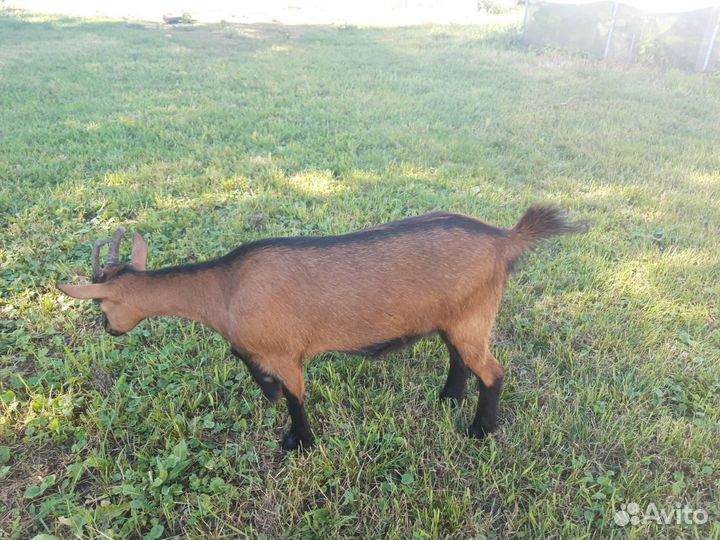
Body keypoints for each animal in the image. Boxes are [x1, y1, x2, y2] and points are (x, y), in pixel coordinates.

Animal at [57, 205, 581, 451]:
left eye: (101, 306)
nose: (110, 331)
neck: (225, 290)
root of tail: (504, 239)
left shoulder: (287, 354)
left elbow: (296, 399)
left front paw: (299, 444)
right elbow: (254, 371)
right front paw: (267, 395)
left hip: (473, 315)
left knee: (493, 372)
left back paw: (478, 430)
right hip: (455, 318)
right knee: (459, 357)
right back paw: (448, 397)